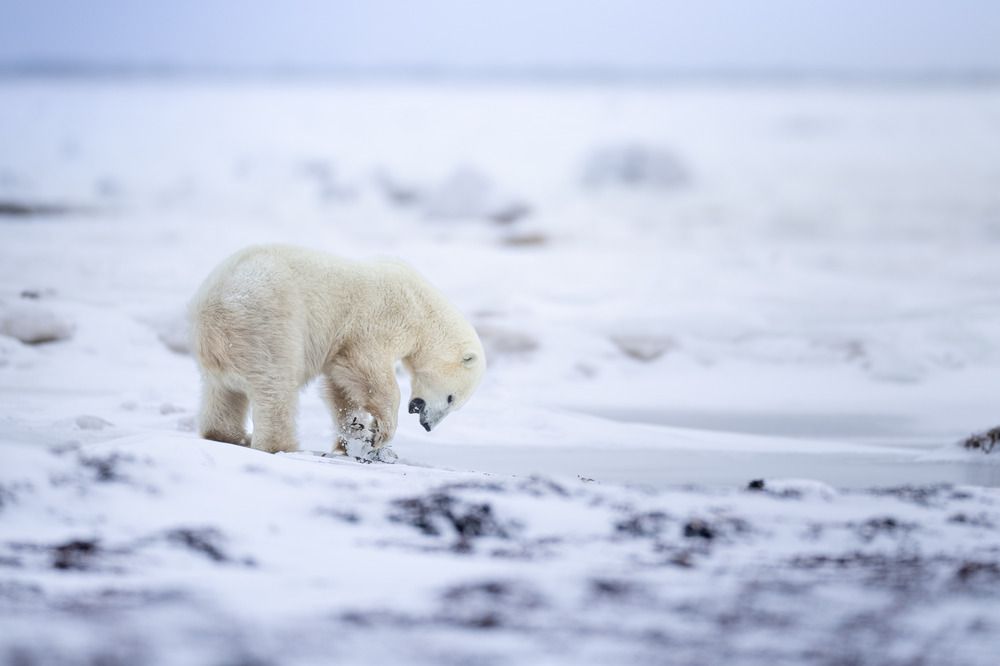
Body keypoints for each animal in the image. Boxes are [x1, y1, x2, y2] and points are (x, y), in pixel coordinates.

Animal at [189, 244, 486, 455]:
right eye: (451, 399)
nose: (427, 425)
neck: (422, 308)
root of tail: (215, 308)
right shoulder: (380, 319)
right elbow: (367, 368)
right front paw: (381, 432)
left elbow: (341, 387)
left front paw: (355, 434)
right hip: (269, 323)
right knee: (276, 386)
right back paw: (281, 445)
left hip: (227, 347)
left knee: (223, 393)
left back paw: (228, 435)